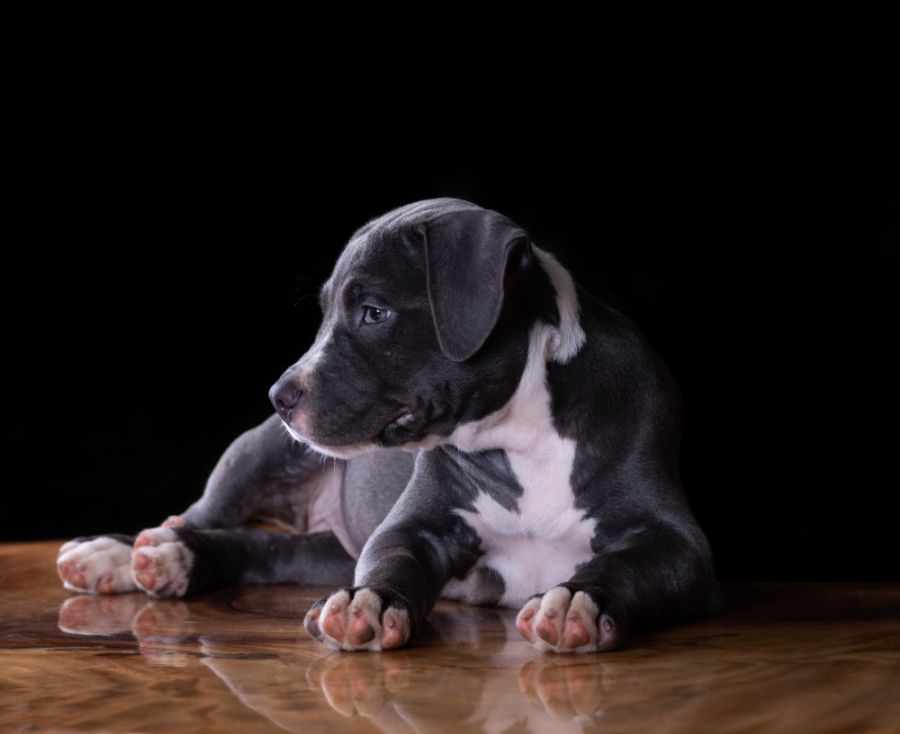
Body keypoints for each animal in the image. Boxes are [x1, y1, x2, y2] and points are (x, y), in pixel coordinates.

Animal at [56, 198, 716, 652]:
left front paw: (577, 600)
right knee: (191, 517)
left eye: (374, 312)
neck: (519, 432)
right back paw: (126, 554)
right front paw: (366, 602)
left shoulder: (678, 543)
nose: (279, 396)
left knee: (263, 550)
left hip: (324, 547)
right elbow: (393, 559)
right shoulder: (414, 525)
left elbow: (623, 564)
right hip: (253, 453)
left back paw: (179, 560)